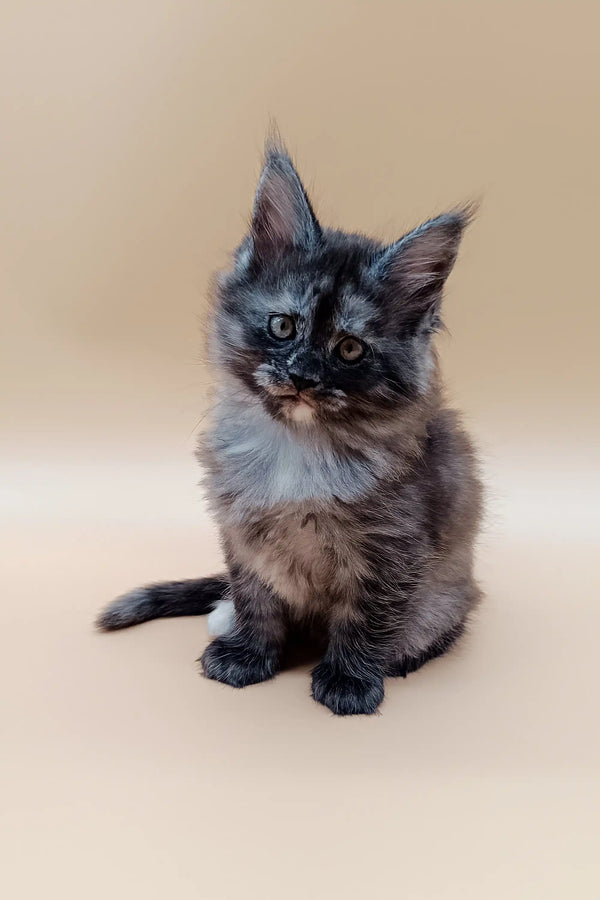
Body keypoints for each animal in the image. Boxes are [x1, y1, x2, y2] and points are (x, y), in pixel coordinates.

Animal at [98, 141, 482, 716]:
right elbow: (256, 596)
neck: (297, 445)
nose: (302, 376)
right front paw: (248, 653)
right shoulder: (244, 531)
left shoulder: (393, 547)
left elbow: (368, 618)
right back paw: (224, 615)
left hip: (445, 595)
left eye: (350, 349)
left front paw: (350, 680)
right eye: (283, 326)